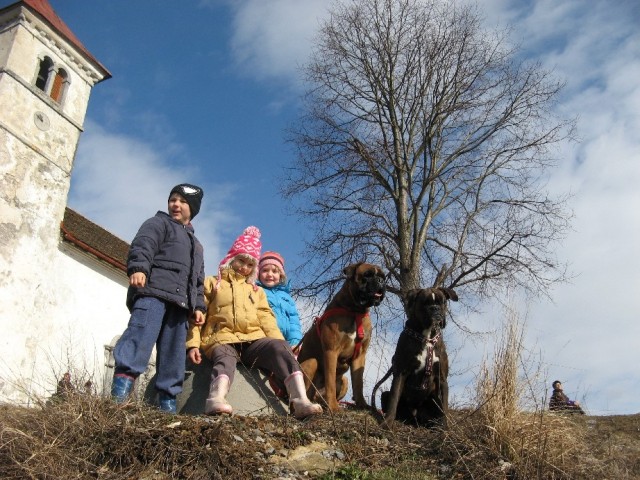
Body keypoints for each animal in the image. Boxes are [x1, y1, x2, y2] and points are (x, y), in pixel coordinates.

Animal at [296, 262, 384, 412]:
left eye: (383, 277)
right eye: (367, 274)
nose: (380, 281)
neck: (355, 311)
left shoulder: (360, 356)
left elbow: (358, 383)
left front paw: (362, 405)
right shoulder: (331, 351)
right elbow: (330, 381)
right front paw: (334, 407)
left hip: (344, 380)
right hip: (311, 363)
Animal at [372, 286, 458, 430]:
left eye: (442, 302)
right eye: (425, 302)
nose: (435, 308)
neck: (427, 338)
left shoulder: (442, 380)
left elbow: (444, 408)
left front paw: (445, 429)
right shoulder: (400, 373)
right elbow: (394, 399)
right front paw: (387, 423)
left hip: (433, 400)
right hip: (385, 395)